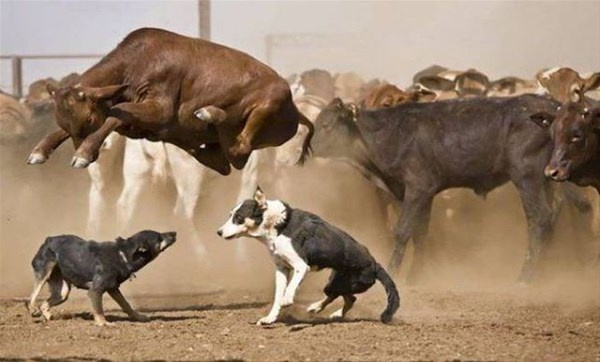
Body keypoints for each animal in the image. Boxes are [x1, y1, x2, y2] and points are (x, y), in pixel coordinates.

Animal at [27, 230, 176, 326]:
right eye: (159, 238)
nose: (174, 233)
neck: (123, 254)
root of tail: (49, 239)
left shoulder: (113, 288)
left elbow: (126, 305)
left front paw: (138, 317)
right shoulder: (95, 290)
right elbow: (99, 309)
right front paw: (103, 323)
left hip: (62, 292)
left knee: (44, 303)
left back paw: (48, 316)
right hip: (44, 272)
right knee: (33, 295)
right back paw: (32, 309)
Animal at [218, 188, 400, 324]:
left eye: (238, 218)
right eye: (230, 215)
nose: (218, 232)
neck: (280, 225)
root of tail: (375, 264)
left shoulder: (301, 266)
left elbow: (290, 288)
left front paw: (287, 300)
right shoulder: (282, 269)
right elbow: (277, 295)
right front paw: (270, 318)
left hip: (345, 283)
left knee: (343, 297)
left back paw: (319, 308)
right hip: (336, 281)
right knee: (349, 298)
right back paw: (324, 310)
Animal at [314, 94, 592, 282]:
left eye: (328, 125)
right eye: (317, 124)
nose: (312, 148)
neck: (390, 134)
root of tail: (553, 106)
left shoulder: (417, 188)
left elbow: (403, 231)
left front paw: (394, 271)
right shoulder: (424, 193)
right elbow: (420, 232)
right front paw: (417, 276)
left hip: (527, 177)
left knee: (539, 220)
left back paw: (525, 277)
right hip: (547, 181)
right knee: (553, 217)